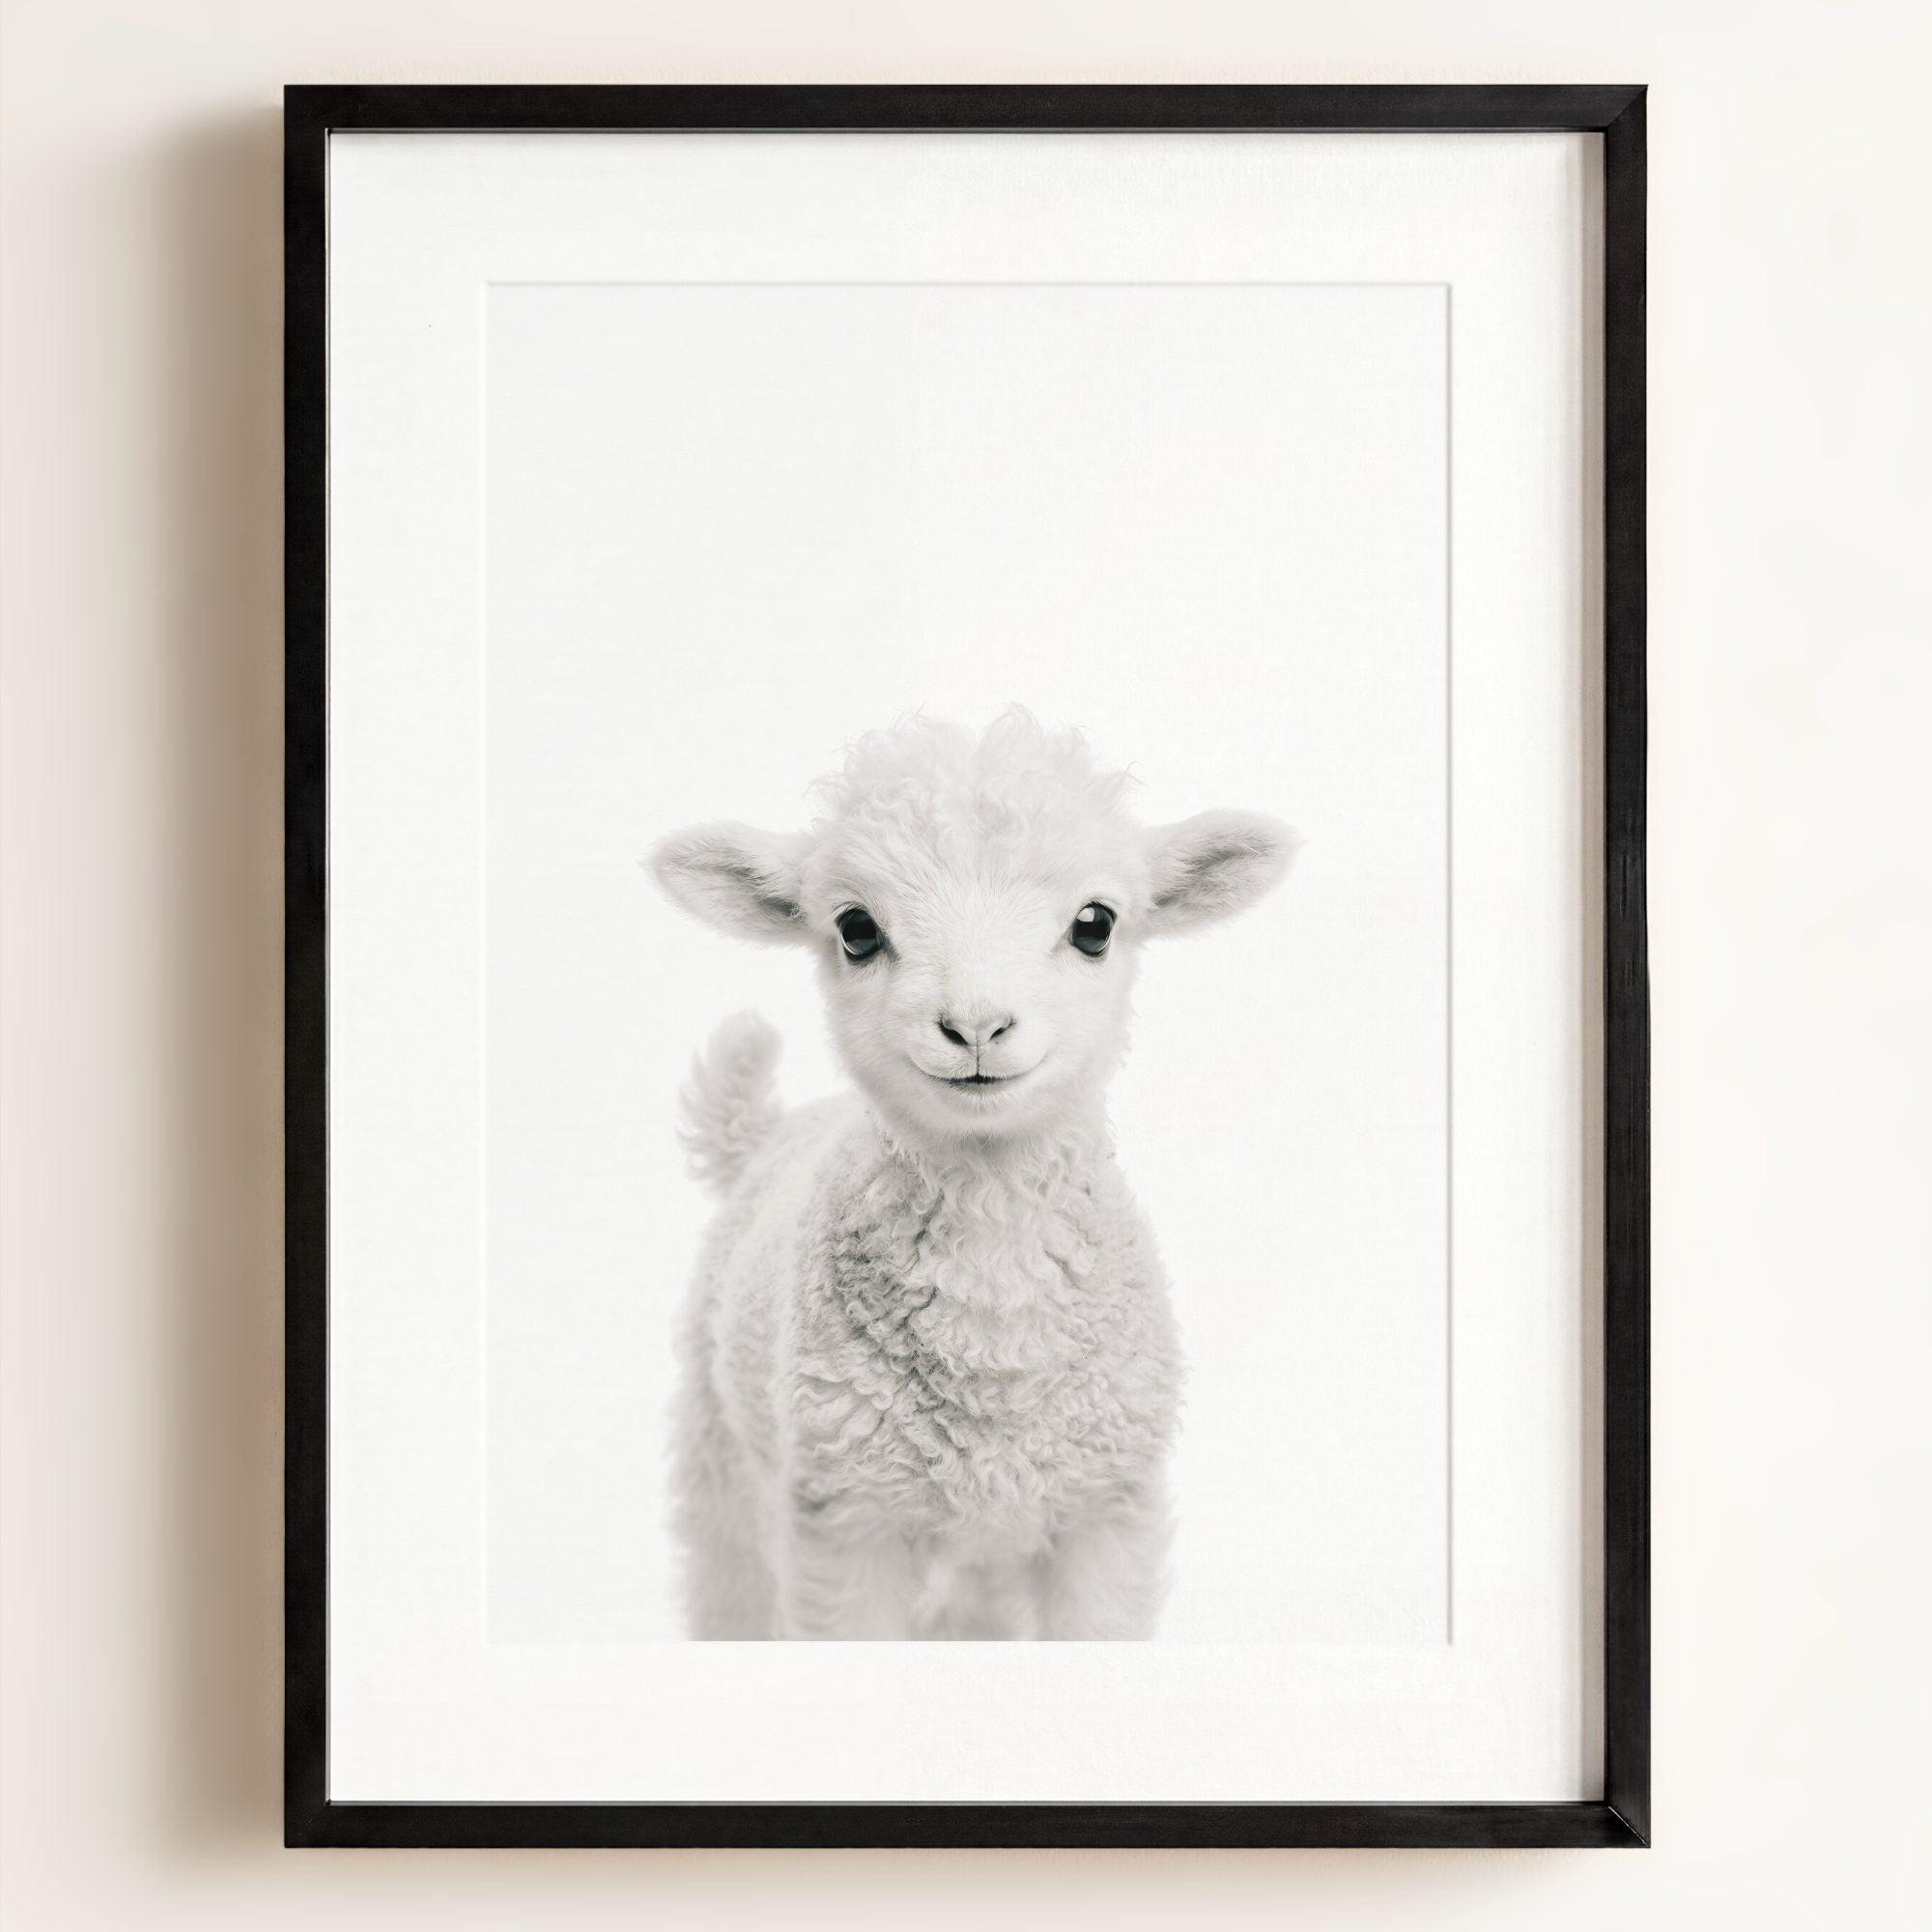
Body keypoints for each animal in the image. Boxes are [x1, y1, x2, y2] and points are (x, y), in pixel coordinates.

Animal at [649, 709, 1296, 1639]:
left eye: (1096, 924)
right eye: (855, 929)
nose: (977, 1026)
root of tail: (769, 1131)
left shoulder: (1105, 1512)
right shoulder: (846, 1523)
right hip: (723, 1460)